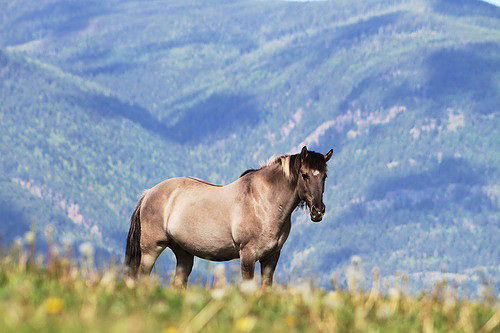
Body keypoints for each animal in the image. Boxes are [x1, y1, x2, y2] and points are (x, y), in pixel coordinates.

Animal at [125, 147, 332, 286]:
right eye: (304, 175)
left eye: (324, 177)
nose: (318, 211)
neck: (264, 202)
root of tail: (148, 193)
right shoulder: (247, 255)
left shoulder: (271, 257)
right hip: (151, 250)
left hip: (183, 253)